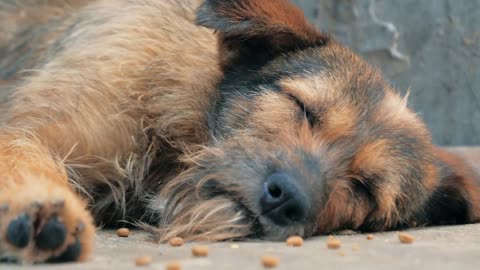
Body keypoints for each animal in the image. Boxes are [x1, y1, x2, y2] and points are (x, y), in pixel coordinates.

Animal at [0, 0, 480, 264]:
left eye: (364, 189)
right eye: (302, 108)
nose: (287, 198)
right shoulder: (36, 125)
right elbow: (23, 152)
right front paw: (39, 205)